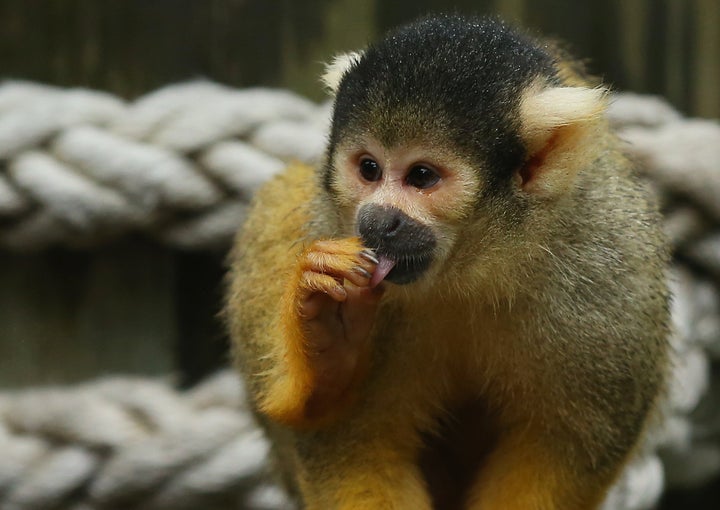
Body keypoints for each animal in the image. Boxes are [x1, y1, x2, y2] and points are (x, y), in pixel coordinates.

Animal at [225, 14, 668, 510]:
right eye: (369, 169)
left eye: (422, 176)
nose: (378, 220)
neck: (475, 267)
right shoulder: (331, 227)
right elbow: (347, 439)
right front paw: (327, 334)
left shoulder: (606, 271)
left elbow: (569, 447)